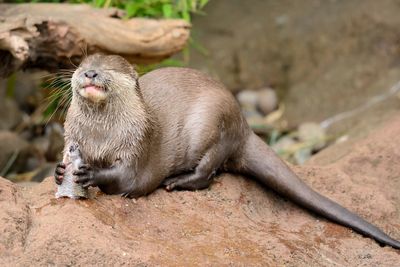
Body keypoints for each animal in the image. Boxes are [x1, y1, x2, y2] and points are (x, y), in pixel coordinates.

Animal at [55, 53, 400, 250]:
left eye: (109, 69)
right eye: (83, 65)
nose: (91, 73)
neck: (101, 137)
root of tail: (243, 123)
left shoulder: (136, 145)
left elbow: (125, 179)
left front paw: (89, 173)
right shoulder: (72, 136)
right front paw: (61, 172)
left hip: (213, 124)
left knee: (209, 172)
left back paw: (177, 182)